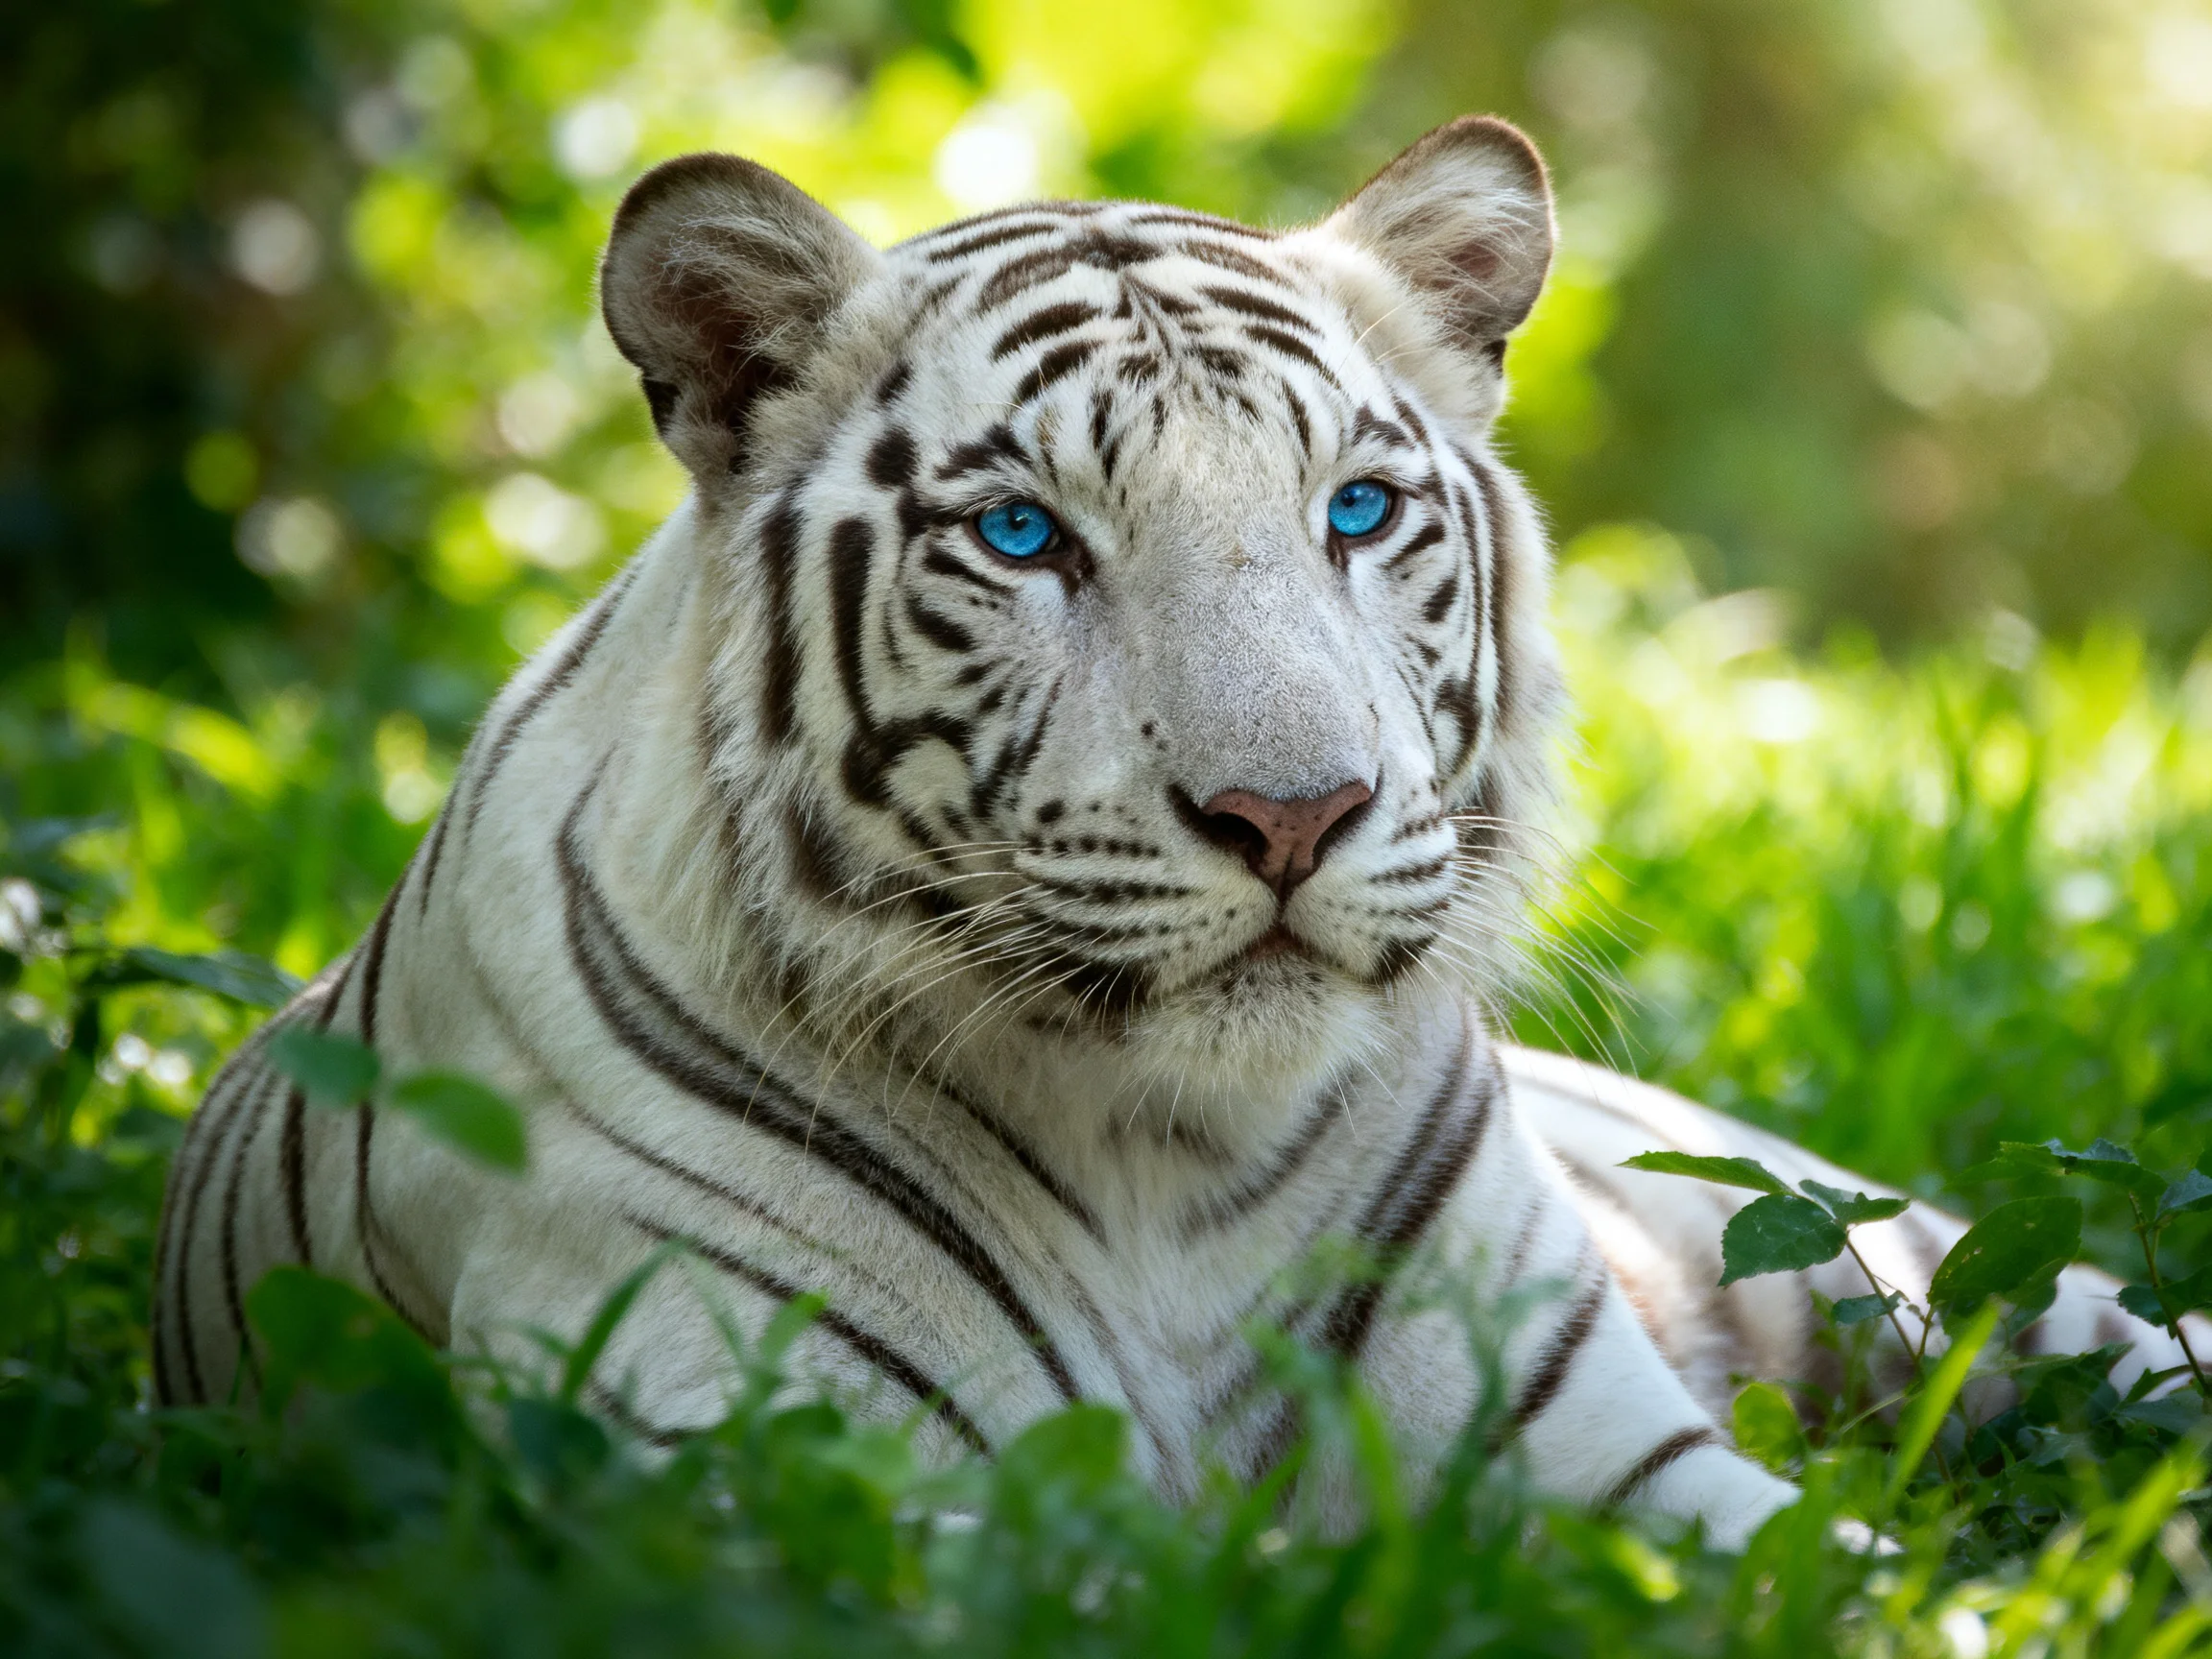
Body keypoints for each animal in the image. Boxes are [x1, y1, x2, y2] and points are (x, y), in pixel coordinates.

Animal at [152, 116, 2202, 1551]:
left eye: (1356, 509)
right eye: (1021, 535)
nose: (1290, 814)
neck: (1168, 1153)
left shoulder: (1598, 1460)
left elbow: (1856, 1587)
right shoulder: (791, 1479)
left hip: (1927, 1268)